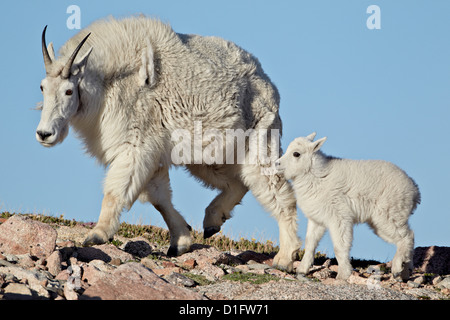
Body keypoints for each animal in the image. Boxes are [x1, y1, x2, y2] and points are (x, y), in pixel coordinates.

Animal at [37, 15, 300, 270]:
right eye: (42, 87)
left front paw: (98, 234)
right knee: (238, 182)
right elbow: (159, 198)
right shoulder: (153, 154)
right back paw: (212, 221)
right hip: (209, 155)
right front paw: (181, 241)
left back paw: (286, 258)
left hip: (260, 141)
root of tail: (268, 84)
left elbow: (117, 190)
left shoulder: (136, 145)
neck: (109, 83)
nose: (44, 134)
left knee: (278, 192)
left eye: (69, 91)